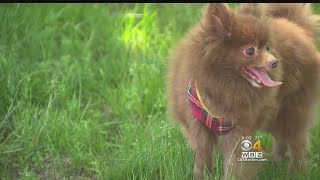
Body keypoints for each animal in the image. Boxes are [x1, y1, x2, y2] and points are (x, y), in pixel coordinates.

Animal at [166, 3, 320, 180]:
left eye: (268, 47)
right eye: (250, 51)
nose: (275, 62)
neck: (223, 85)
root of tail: (298, 27)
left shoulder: (238, 128)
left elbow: (234, 163)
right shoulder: (197, 125)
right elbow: (202, 156)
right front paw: (202, 175)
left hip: (290, 110)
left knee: (297, 143)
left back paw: (296, 172)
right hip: (273, 114)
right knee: (282, 138)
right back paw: (276, 158)